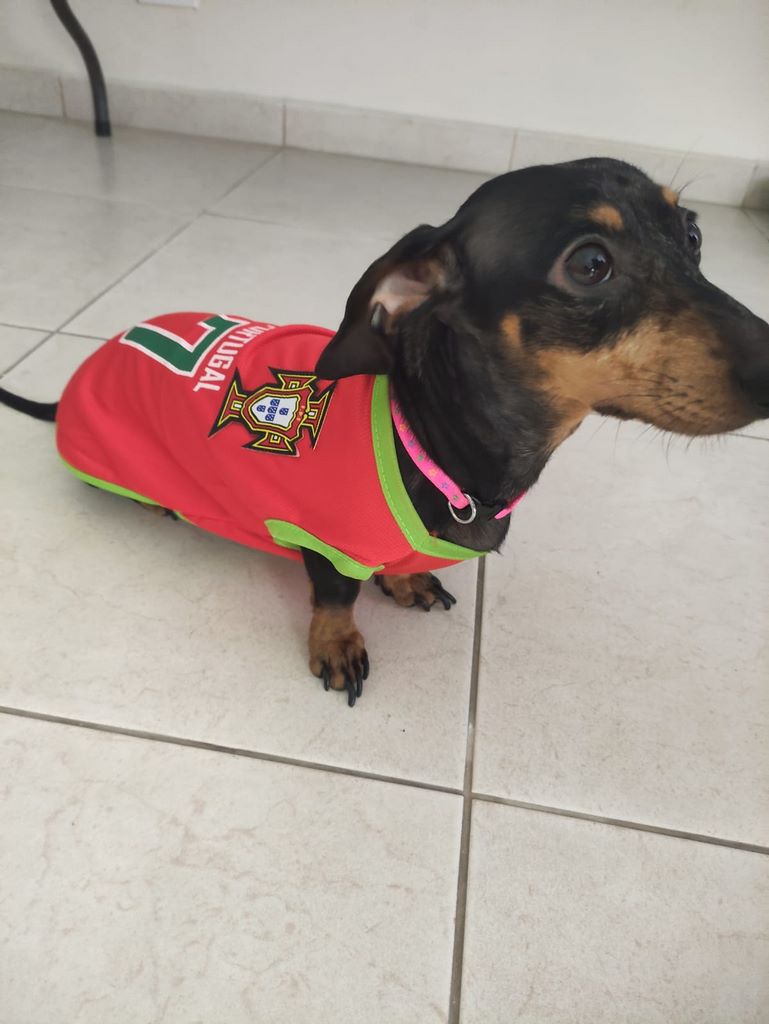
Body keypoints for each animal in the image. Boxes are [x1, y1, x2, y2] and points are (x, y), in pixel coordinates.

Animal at [2, 157, 768, 708]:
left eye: (692, 234)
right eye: (589, 263)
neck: (429, 432)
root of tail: (73, 387)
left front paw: (405, 579)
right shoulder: (323, 541)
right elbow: (336, 594)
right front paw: (338, 643)